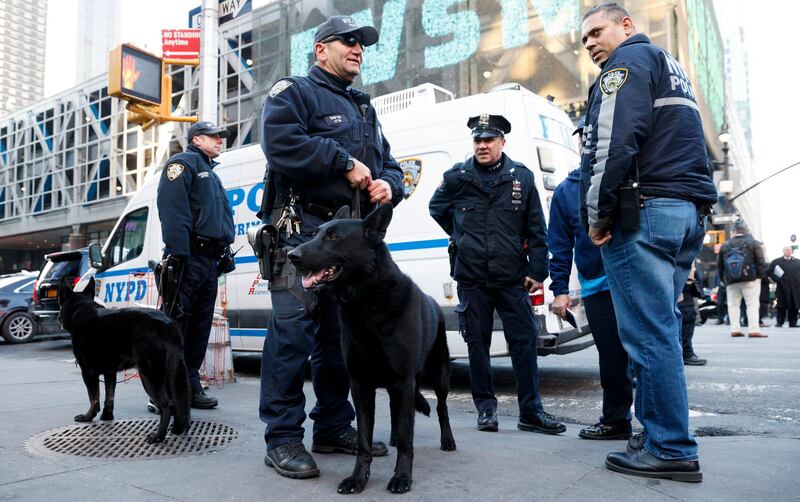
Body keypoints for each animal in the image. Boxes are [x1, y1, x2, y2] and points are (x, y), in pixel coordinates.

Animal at [57, 278, 192, 444]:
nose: (58, 319)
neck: (80, 308)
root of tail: (168, 325)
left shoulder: (88, 373)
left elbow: (94, 398)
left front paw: (88, 417)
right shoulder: (110, 372)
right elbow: (109, 396)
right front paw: (107, 416)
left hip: (148, 376)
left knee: (168, 405)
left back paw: (158, 436)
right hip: (169, 375)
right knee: (179, 402)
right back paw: (177, 429)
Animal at [290, 204, 456, 494]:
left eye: (333, 237)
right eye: (314, 233)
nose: (291, 255)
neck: (366, 301)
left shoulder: (403, 381)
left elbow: (408, 439)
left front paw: (402, 477)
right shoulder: (361, 386)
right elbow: (365, 441)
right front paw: (358, 478)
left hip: (439, 376)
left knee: (441, 409)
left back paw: (447, 440)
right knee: (396, 412)